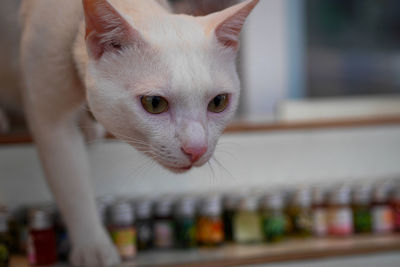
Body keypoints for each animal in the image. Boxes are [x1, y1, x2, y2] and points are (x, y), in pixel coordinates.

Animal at [17, 0, 258, 266]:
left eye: (218, 102)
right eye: (154, 103)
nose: (196, 149)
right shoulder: (51, 121)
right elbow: (73, 188)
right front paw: (92, 246)